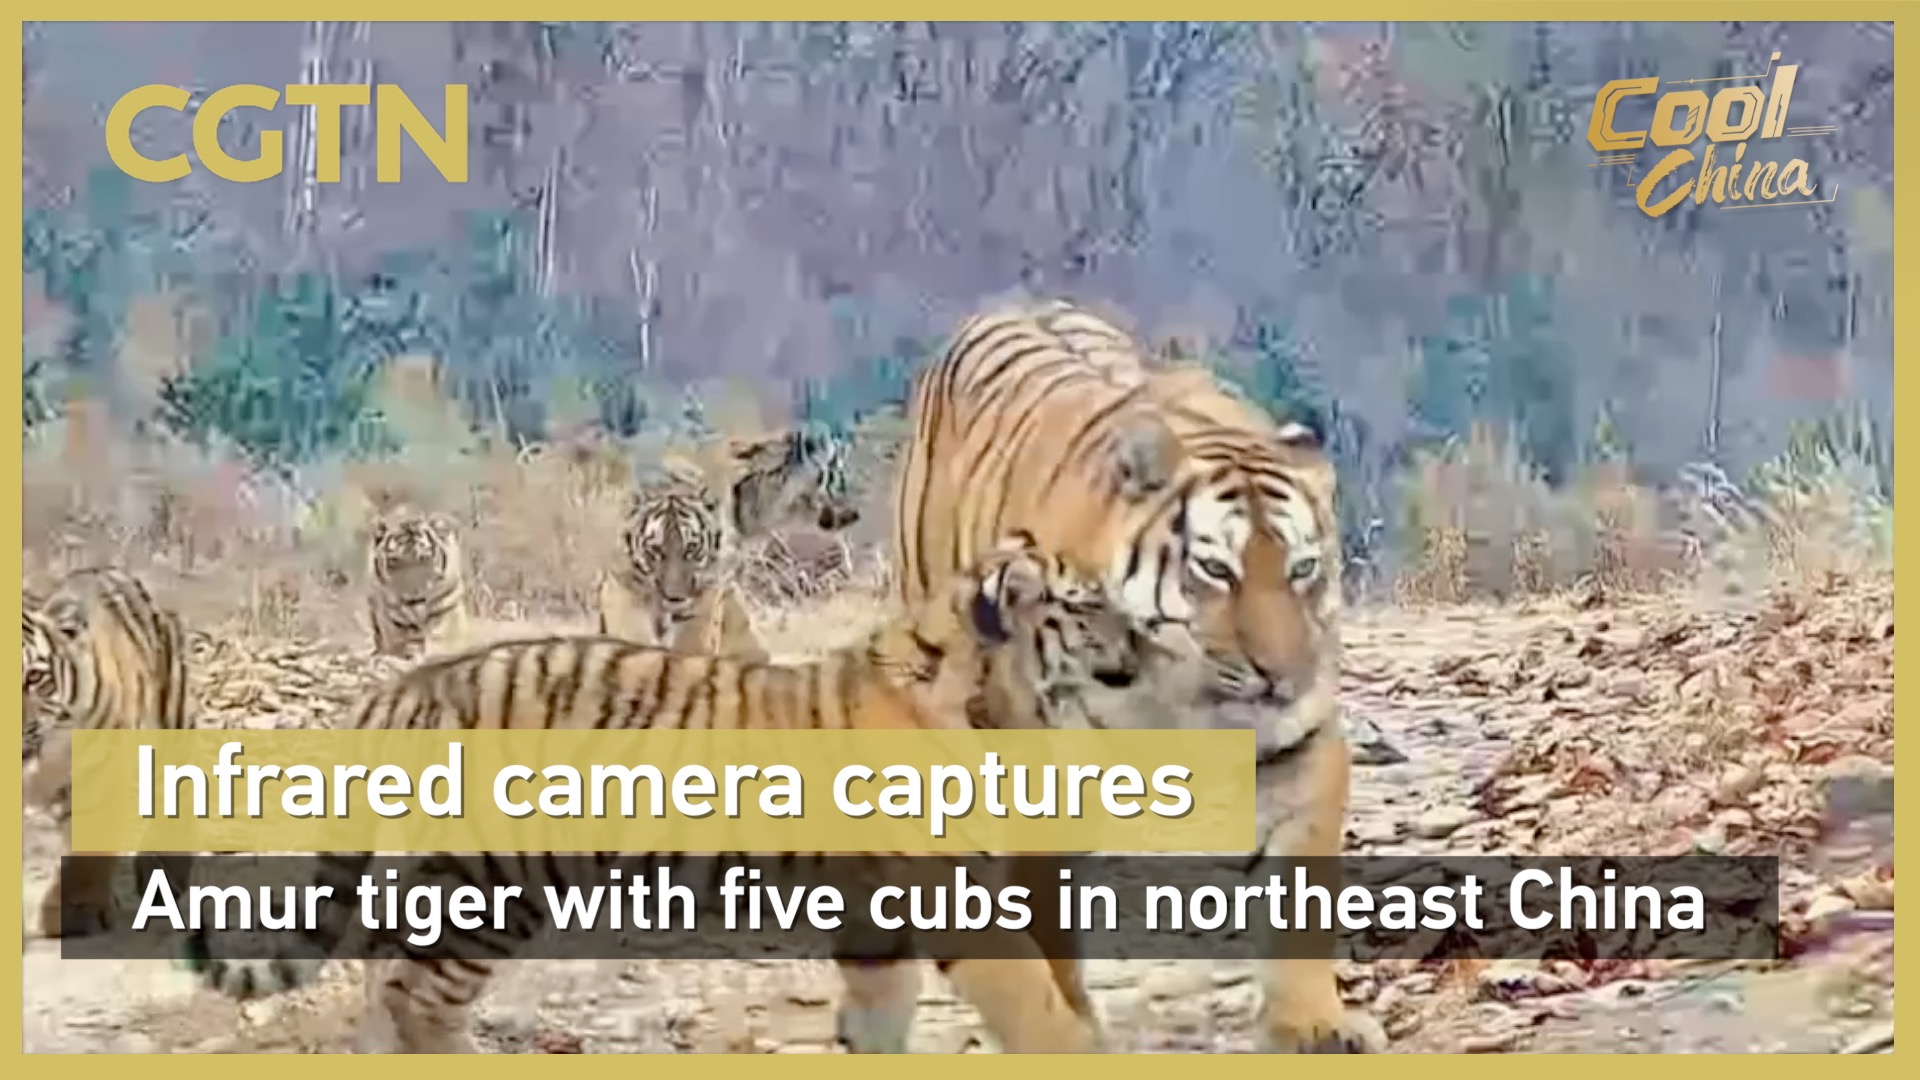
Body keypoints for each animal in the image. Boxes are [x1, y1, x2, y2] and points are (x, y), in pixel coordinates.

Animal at [176, 533, 1156, 1054]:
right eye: (1086, 605)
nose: (1148, 638)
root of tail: (406, 684)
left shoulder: (876, 921)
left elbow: (881, 1020)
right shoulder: (952, 897)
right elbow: (1039, 1007)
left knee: (388, 983)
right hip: (487, 881)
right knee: (416, 997)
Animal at [887, 298, 1386, 1054]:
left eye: (1303, 569)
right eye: (1216, 569)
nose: (1282, 675)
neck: (1178, 693)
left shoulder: (1299, 744)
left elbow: (1300, 893)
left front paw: (1315, 1025)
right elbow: (1043, 911)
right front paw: (1067, 1029)